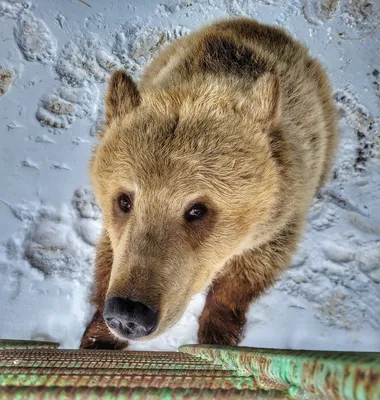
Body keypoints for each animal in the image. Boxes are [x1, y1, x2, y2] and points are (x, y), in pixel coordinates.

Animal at [80, 18, 338, 350]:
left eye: (197, 209)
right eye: (124, 200)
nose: (129, 314)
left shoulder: (281, 217)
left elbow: (248, 272)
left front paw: (218, 332)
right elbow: (109, 255)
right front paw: (99, 337)